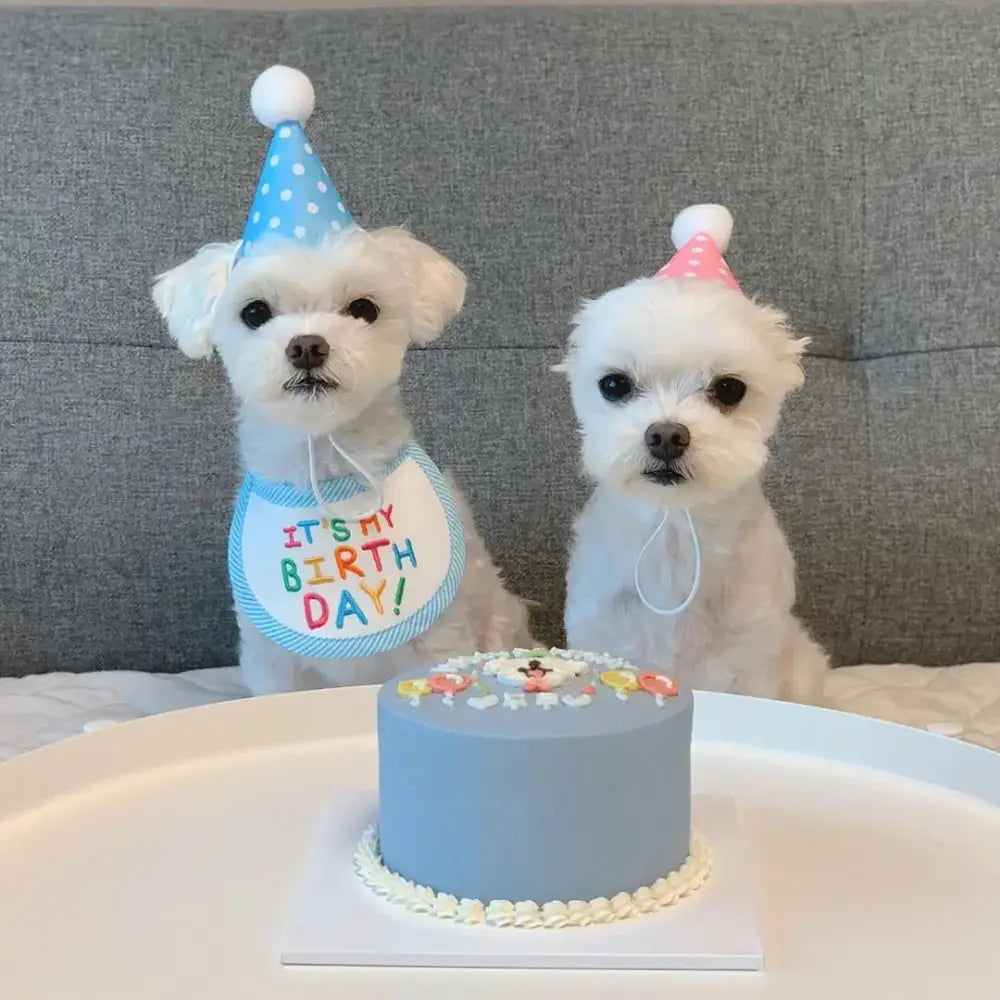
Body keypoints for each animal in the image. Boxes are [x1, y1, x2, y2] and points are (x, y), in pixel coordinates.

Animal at [149, 64, 532, 696]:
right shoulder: (272, 659)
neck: (327, 472)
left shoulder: (440, 637)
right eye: (255, 312)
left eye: (364, 308)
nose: (307, 345)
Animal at [564, 203, 828, 704]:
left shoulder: (752, 653)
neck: (673, 534)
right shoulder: (601, 626)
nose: (666, 435)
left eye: (729, 388)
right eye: (614, 384)